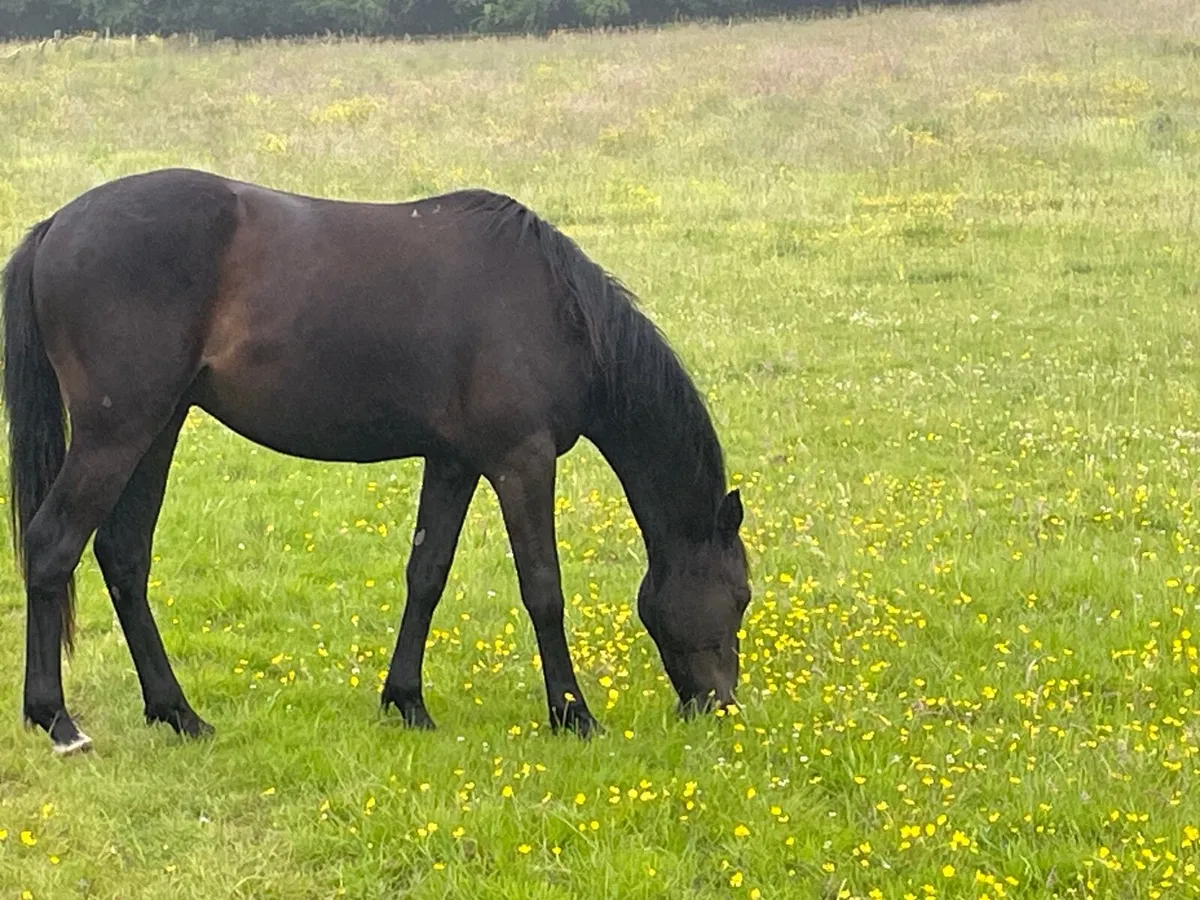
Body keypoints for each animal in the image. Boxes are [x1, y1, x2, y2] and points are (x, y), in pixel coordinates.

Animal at [2, 168, 751, 754]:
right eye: (740, 595)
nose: (722, 706)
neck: (553, 309)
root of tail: (56, 226)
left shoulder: (453, 462)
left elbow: (427, 574)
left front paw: (407, 700)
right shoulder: (521, 460)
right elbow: (543, 587)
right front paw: (573, 715)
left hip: (157, 428)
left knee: (124, 556)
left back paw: (178, 713)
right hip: (116, 433)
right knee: (53, 546)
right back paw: (58, 721)